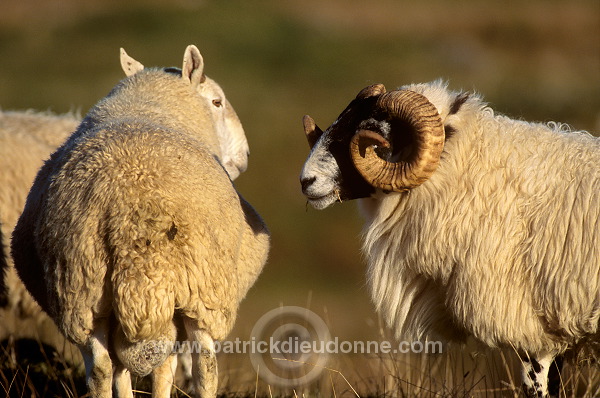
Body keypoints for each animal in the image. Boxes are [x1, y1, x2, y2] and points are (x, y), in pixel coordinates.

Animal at [11, 45, 270, 396]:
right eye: (217, 102)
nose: (246, 156)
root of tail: (132, 216)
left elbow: (122, 371)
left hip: (81, 294)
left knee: (103, 367)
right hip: (202, 291)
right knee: (202, 365)